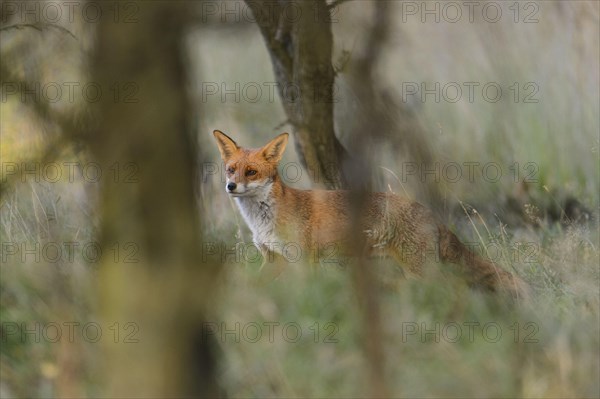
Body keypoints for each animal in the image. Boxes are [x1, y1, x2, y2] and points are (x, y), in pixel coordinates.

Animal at [214, 130, 528, 298]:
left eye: (251, 172)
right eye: (231, 169)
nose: (230, 186)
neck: (263, 221)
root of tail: (428, 212)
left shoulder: (303, 260)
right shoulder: (273, 259)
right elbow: (254, 286)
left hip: (421, 269)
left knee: (455, 286)